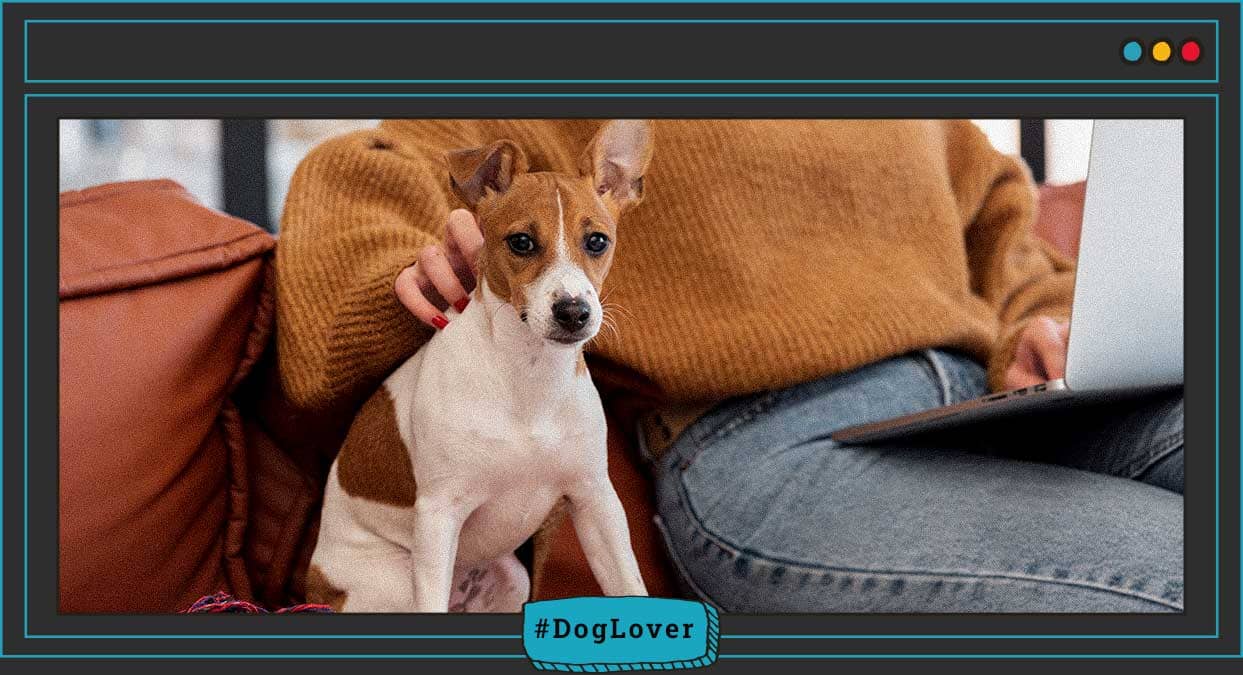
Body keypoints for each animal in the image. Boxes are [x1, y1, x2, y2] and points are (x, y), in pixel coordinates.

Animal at [307, 119, 656, 611]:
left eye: (597, 241)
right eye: (521, 242)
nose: (573, 311)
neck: (529, 377)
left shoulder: (595, 502)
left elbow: (629, 584)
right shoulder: (439, 515)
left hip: (513, 579)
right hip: (394, 581)